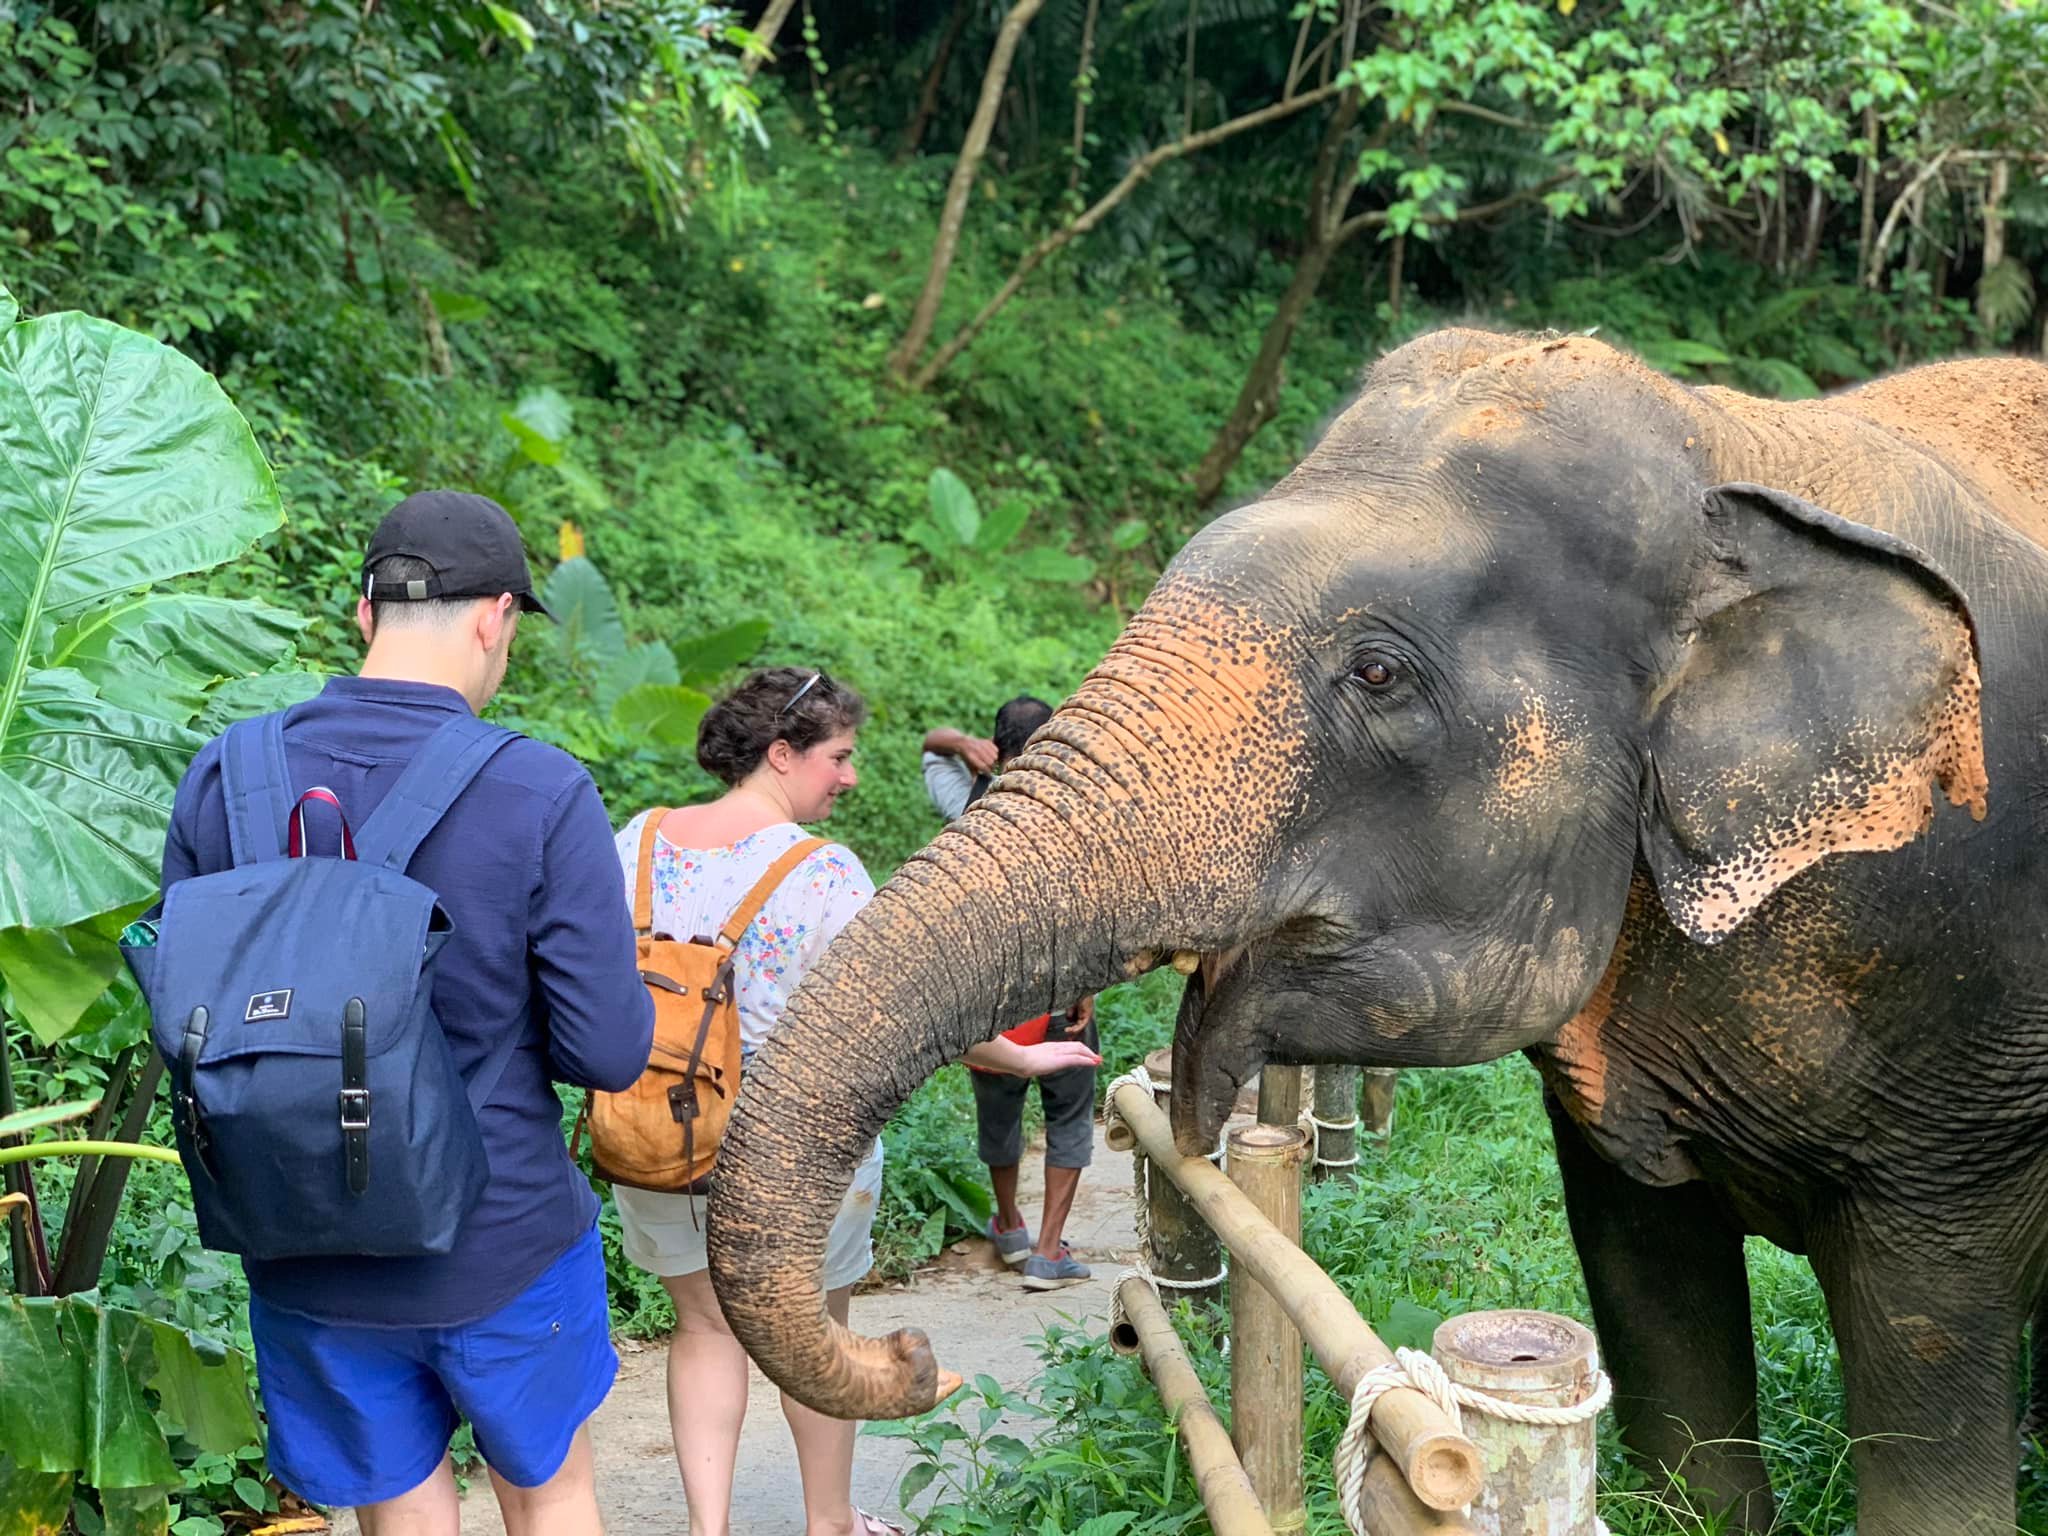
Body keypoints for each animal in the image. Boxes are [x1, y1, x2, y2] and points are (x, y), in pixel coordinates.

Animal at [708, 331, 2048, 1531]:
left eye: (1375, 675)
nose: (910, 1354)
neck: (1727, 437)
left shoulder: (1967, 1068)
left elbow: (1924, 1366)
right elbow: (1655, 1306)